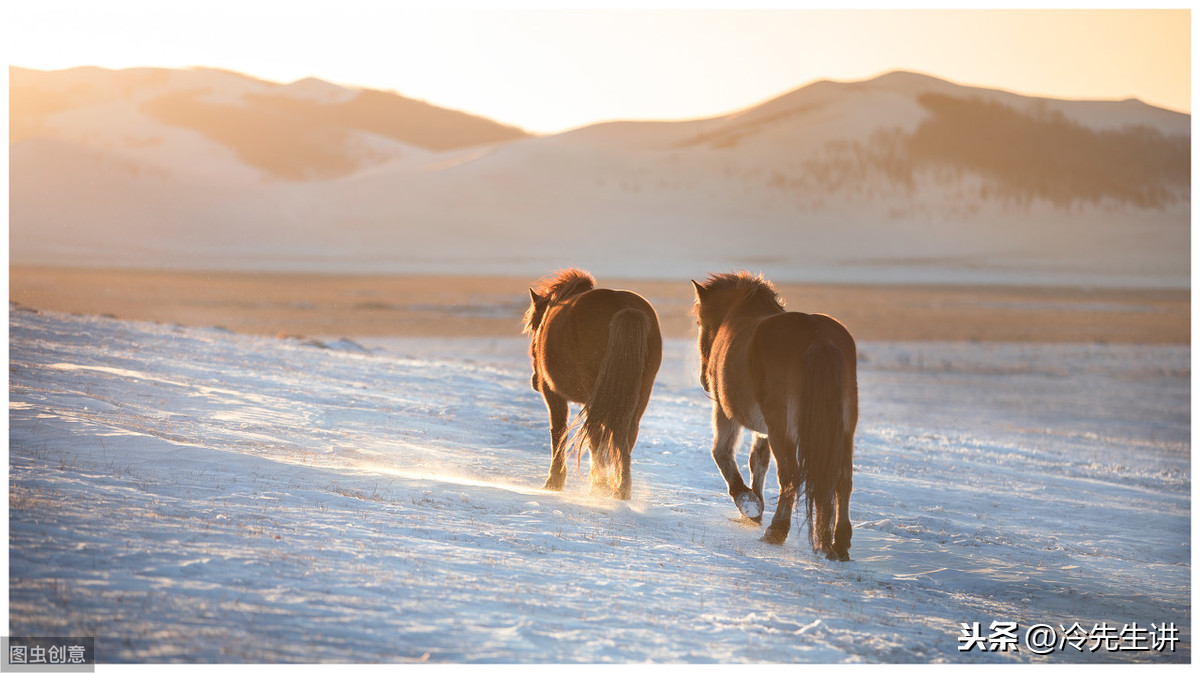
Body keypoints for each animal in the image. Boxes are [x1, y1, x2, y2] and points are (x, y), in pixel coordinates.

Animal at [520, 268, 662, 499]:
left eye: (534, 326)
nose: (535, 380)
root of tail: (625, 308)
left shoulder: (552, 393)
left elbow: (558, 431)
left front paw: (554, 481)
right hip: (639, 394)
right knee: (625, 435)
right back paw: (620, 489)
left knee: (598, 434)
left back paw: (601, 486)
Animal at [691, 269, 859, 559]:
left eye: (701, 320)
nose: (704, 379)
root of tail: (817, 338)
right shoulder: (764, 428)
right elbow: (758, 460)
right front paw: (754, 508)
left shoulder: (725, 412)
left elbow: (722, 452)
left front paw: (747, 501)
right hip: (844, 430)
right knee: (842, 478)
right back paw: (838, 542)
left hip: (783, 429)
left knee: (790, 475)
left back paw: (777, 530)